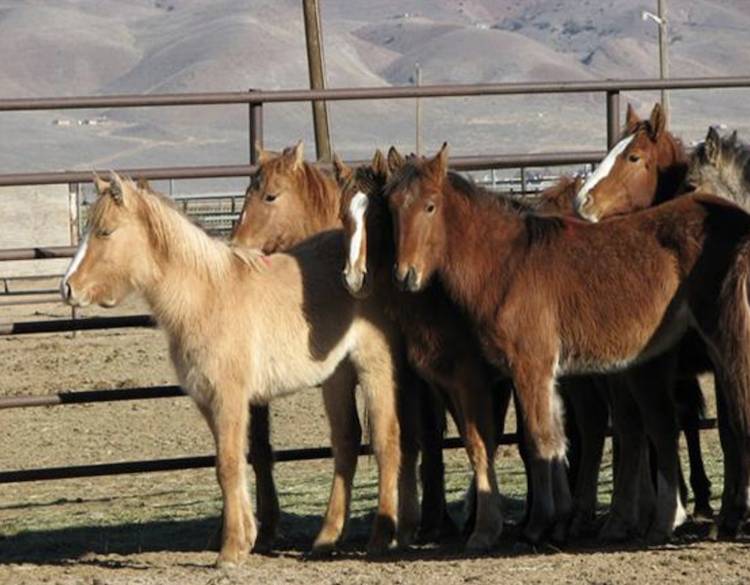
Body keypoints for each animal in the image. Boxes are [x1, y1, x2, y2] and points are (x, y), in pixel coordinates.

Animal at [61, 173, 408, 566]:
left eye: (105, 231)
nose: (67, 288)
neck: (205, 298)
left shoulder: (230, 398)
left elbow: (227, 465)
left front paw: (229, 551)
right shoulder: (207, 400)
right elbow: (232, 465)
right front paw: (245, 538)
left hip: (375, 366)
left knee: (386, 442)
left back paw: (381, 538)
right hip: (337, 375)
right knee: (346, 443)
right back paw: (325, 538)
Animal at [387, 145, 750, 544]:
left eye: (430, 206)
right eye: (392, 205)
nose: (406, 276)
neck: (509, 265)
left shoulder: (530, 367)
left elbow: (539, 441)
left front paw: (541, 522)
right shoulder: (536, 375)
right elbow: (552, 439)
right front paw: (557, 519)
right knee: (663, 427)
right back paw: (666, 519)